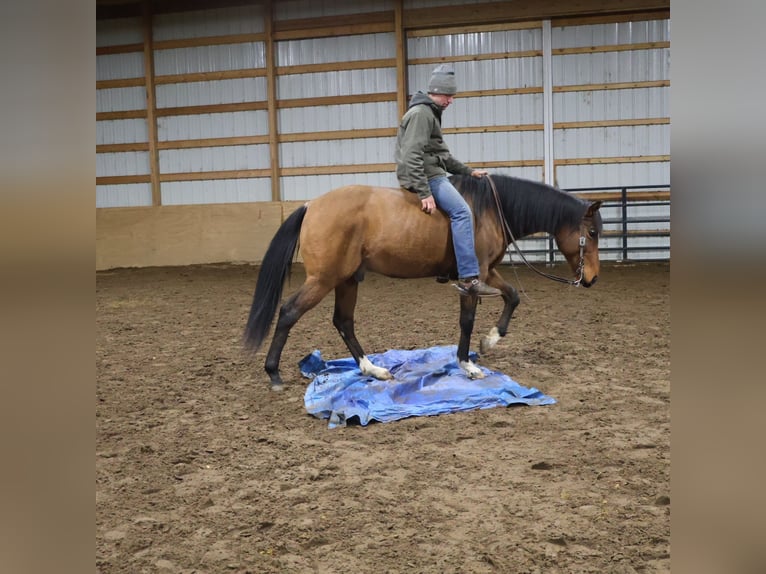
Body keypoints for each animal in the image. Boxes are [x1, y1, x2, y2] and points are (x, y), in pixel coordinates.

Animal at [244, 174, 603, 390]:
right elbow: (467, 321)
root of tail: (311, 206)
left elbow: (512, 296)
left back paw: (373, 369)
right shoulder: (473, 279)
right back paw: (273, 372)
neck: (487, 209)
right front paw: (467, 365)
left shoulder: (486, 273)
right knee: (289, 312)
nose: (592, 278)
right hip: (324, 279)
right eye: (592, 232)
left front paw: (490, 340)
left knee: (343, 321)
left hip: (347, 280)